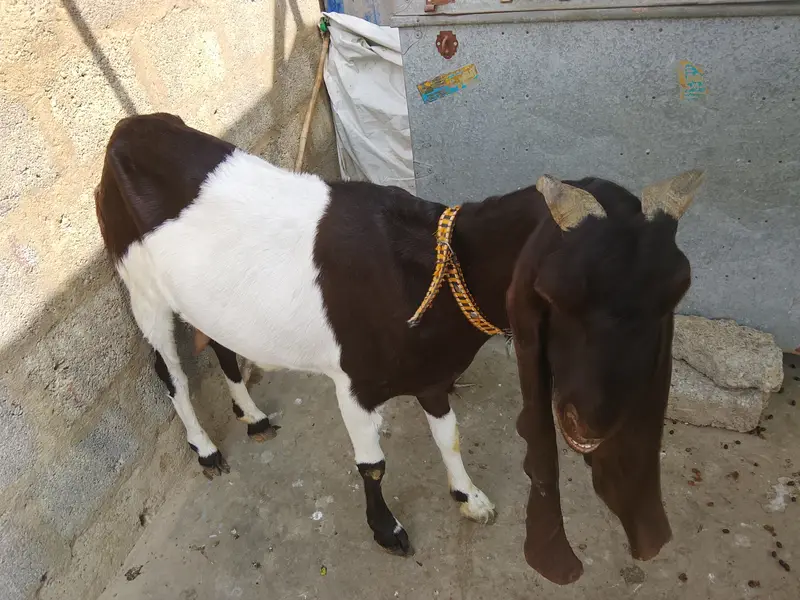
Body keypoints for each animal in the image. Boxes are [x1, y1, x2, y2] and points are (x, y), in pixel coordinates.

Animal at [95, 113, 703, 584]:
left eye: (675, 290)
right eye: (555, 292)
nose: (591, 424)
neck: (424, 273)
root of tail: (125, 129)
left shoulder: (432, 374)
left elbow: (449, 437)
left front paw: (469, 498)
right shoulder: (354, 384)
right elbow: (373, 466)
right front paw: (387, 531)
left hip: (211, 299)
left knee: (222, 345)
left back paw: (254, 417)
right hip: (141, 289)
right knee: (168, 369)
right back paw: (205, 449)